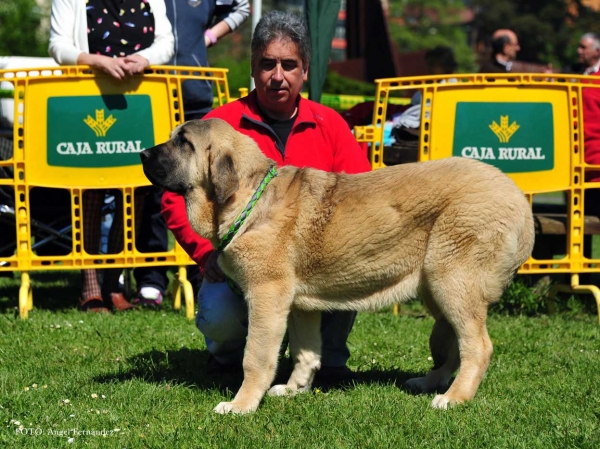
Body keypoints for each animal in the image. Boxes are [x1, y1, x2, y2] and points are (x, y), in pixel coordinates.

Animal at [141, 118, 536, 412]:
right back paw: (430, 382)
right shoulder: (299, 305)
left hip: (452, 282)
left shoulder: (267, 297)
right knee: (454, 344)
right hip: (437, 290)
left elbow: (256, 356)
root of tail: (519, 199)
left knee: (477, 346)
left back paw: (454, 398)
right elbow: (305, 352)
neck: (249, 196)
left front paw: (241, 405)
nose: (142, 152)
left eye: (184, 143)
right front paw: (294, 389)